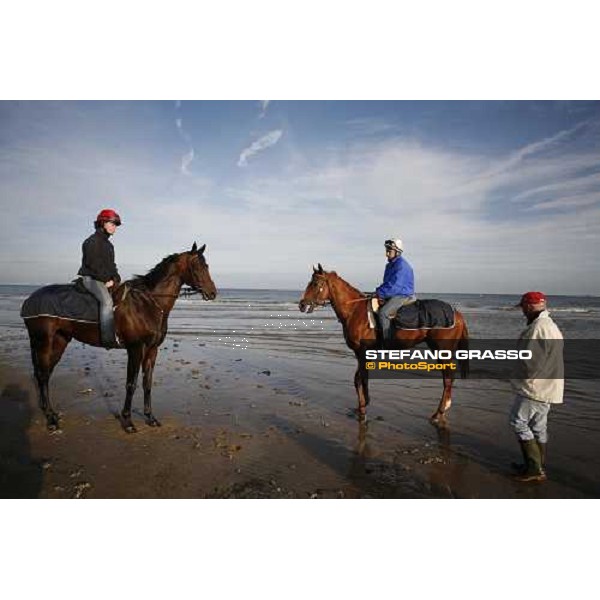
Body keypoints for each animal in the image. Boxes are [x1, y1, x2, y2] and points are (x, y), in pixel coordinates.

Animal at [22, 241, 217, 434]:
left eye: (206, 265)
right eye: (196, 266)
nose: (213, 293)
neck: (148, 303)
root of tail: (29, 300)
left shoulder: (152, 350)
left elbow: (147, 383)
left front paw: (150, 418)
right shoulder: (135, 349)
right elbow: (131, 384)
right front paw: (128, 421)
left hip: (60, 341)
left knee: (45, 374)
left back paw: (50, 411)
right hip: (44, 342)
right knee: (42, 375)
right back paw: (50, 419)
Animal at [298, 264, 468, 424]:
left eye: (315, 283)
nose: (301, 304)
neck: (354, 311)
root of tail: (457, 313)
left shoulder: (362, 351)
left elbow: (361, 379)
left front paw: (363, 410)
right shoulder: (360, 353)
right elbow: (358, 379)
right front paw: (361, 406)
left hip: (442, 350)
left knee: (447, 379)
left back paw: (438, 413)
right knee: (448, 378)